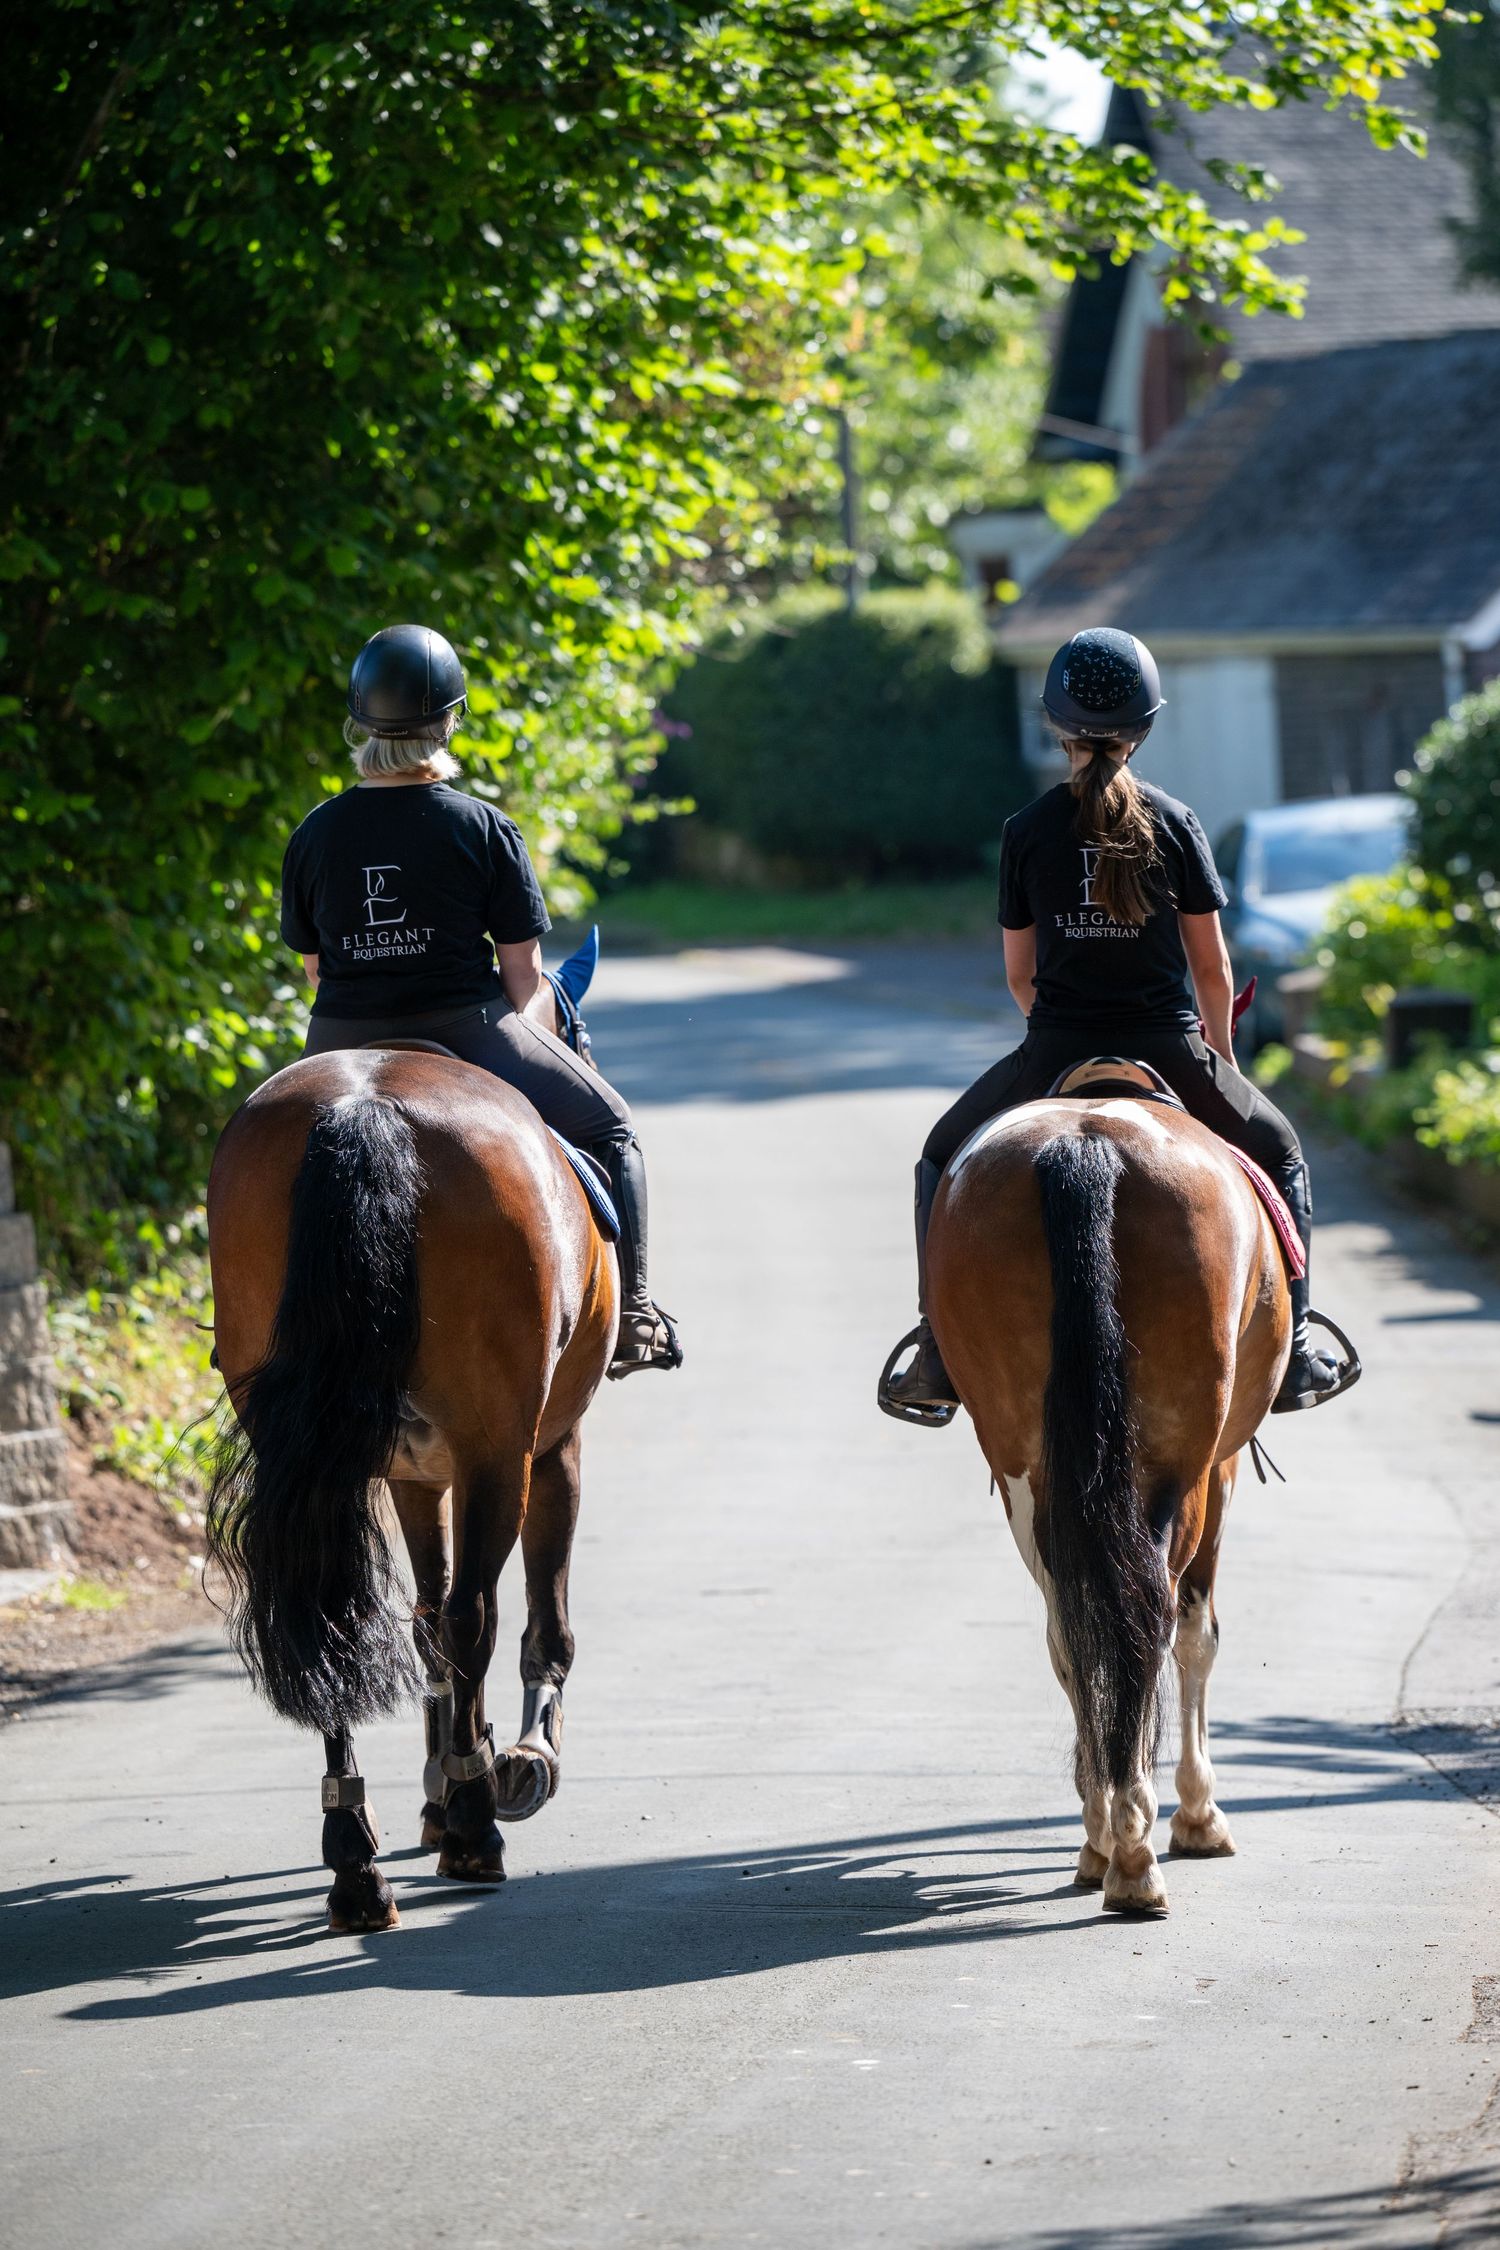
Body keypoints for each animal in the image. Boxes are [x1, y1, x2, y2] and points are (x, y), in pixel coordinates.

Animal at [204, 934, 616, 1933]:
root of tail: (363, 1110)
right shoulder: (550, 1447)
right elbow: (534, 1617)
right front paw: (519, 1763)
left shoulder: (414, 1471)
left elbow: (424, 1618)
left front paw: (445, 1781)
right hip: (500, 1447)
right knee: (474, 1615)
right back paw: (472, 1826)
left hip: (318, 1446)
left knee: (335, 1604)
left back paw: (355, 1858)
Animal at [925, 1065, 1292, 1916]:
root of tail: (1085, 1146)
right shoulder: (1221, 1472)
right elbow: (1199, 1635)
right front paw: (1199, 1815)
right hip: (1181, 1464)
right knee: (1152, 1615)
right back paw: (1134, 1848)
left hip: (1026, 1466)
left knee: (1075, 1624)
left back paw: (1104, 1839)